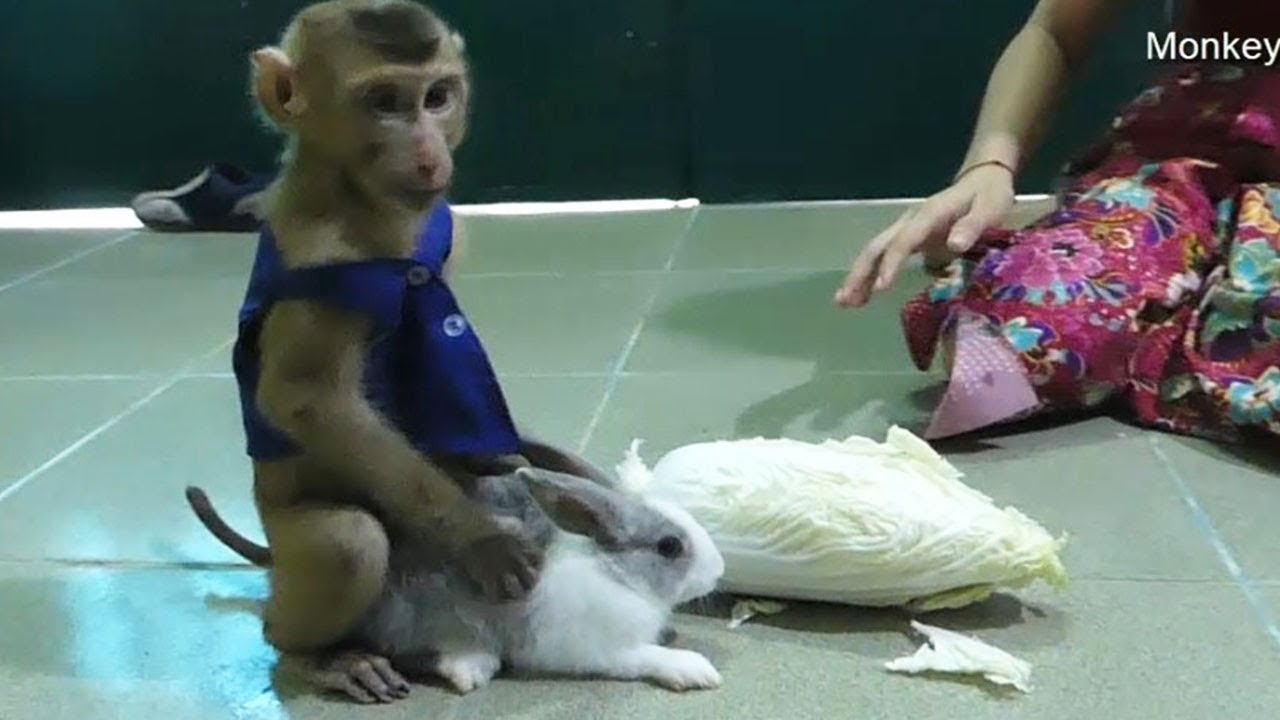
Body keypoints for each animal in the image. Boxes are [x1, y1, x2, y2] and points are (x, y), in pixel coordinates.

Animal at [184, 0, 619, 702]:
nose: (427, 151)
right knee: (345, 543)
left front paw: (544, 465)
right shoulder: (323, 255)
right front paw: (478, 538)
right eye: (385, 102)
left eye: (437, 97)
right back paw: (315, 655)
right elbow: (307, 400)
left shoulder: (446, 224)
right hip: (294, 533)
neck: (358, 197)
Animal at [348, 465, 727, 694]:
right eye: (669, 546)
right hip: (416, 618)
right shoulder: (599, 648)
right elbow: (647, 657)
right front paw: (699, 671)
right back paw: (470, 669)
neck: (614, 574)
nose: (719, 570)